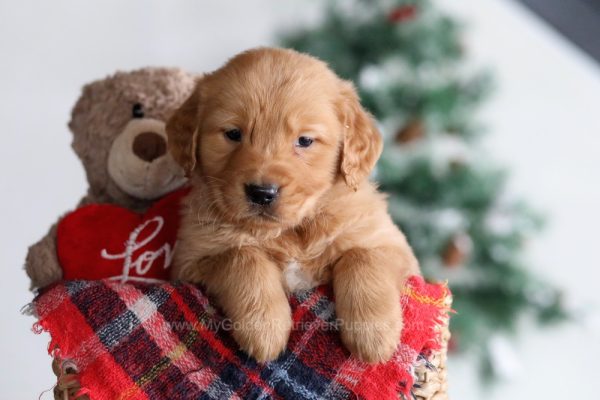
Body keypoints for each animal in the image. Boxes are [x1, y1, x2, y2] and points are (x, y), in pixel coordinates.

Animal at [166, 47, 420, 362]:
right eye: (233, 134)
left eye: (305, 140)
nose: (262, 193)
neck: (292, 230)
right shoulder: (189, 260)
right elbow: (241, 256)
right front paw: (264, 326)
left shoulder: (393, 247)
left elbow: (362, 256)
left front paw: (373, 334)